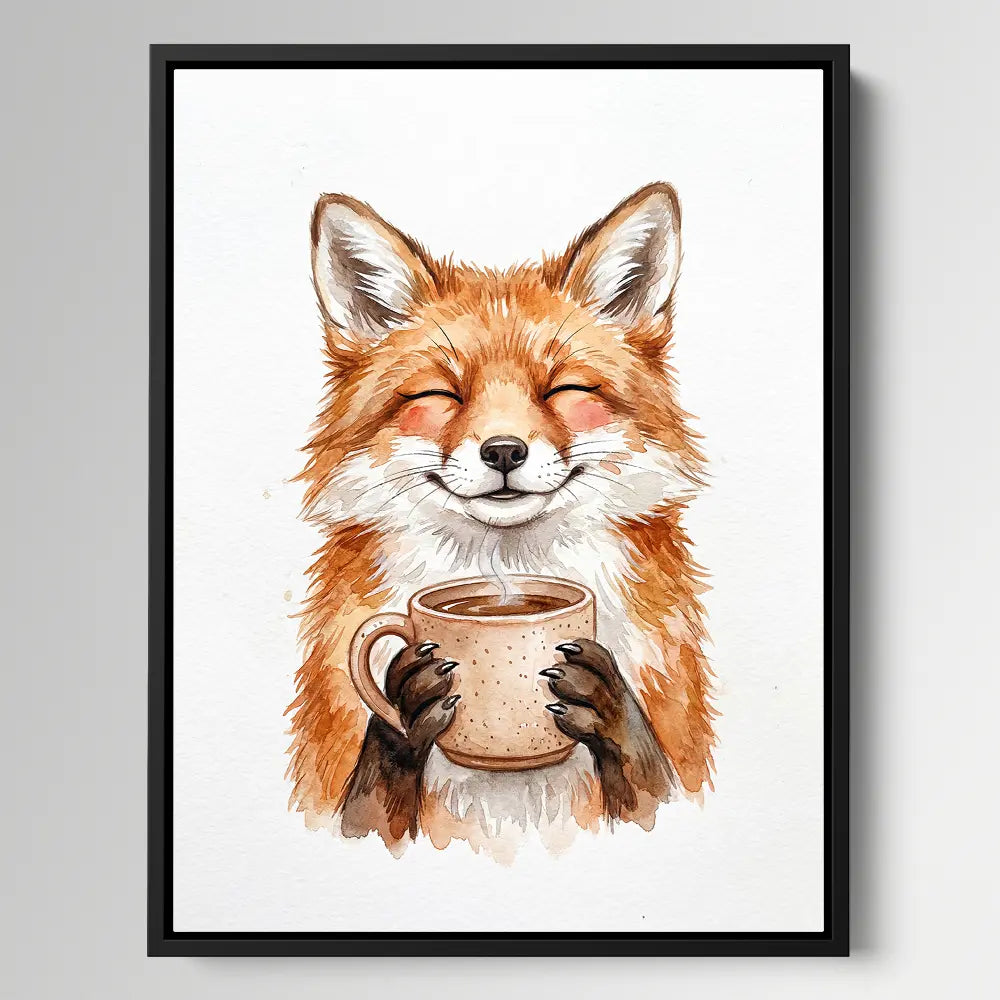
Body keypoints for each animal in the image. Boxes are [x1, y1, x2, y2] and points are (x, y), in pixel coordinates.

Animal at [286, 183, 716, 855]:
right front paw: (405, 709)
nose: (505, 451)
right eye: (440, 395)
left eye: (563, 389)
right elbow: (370, 811)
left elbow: (654, 792)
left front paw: (611, 711)